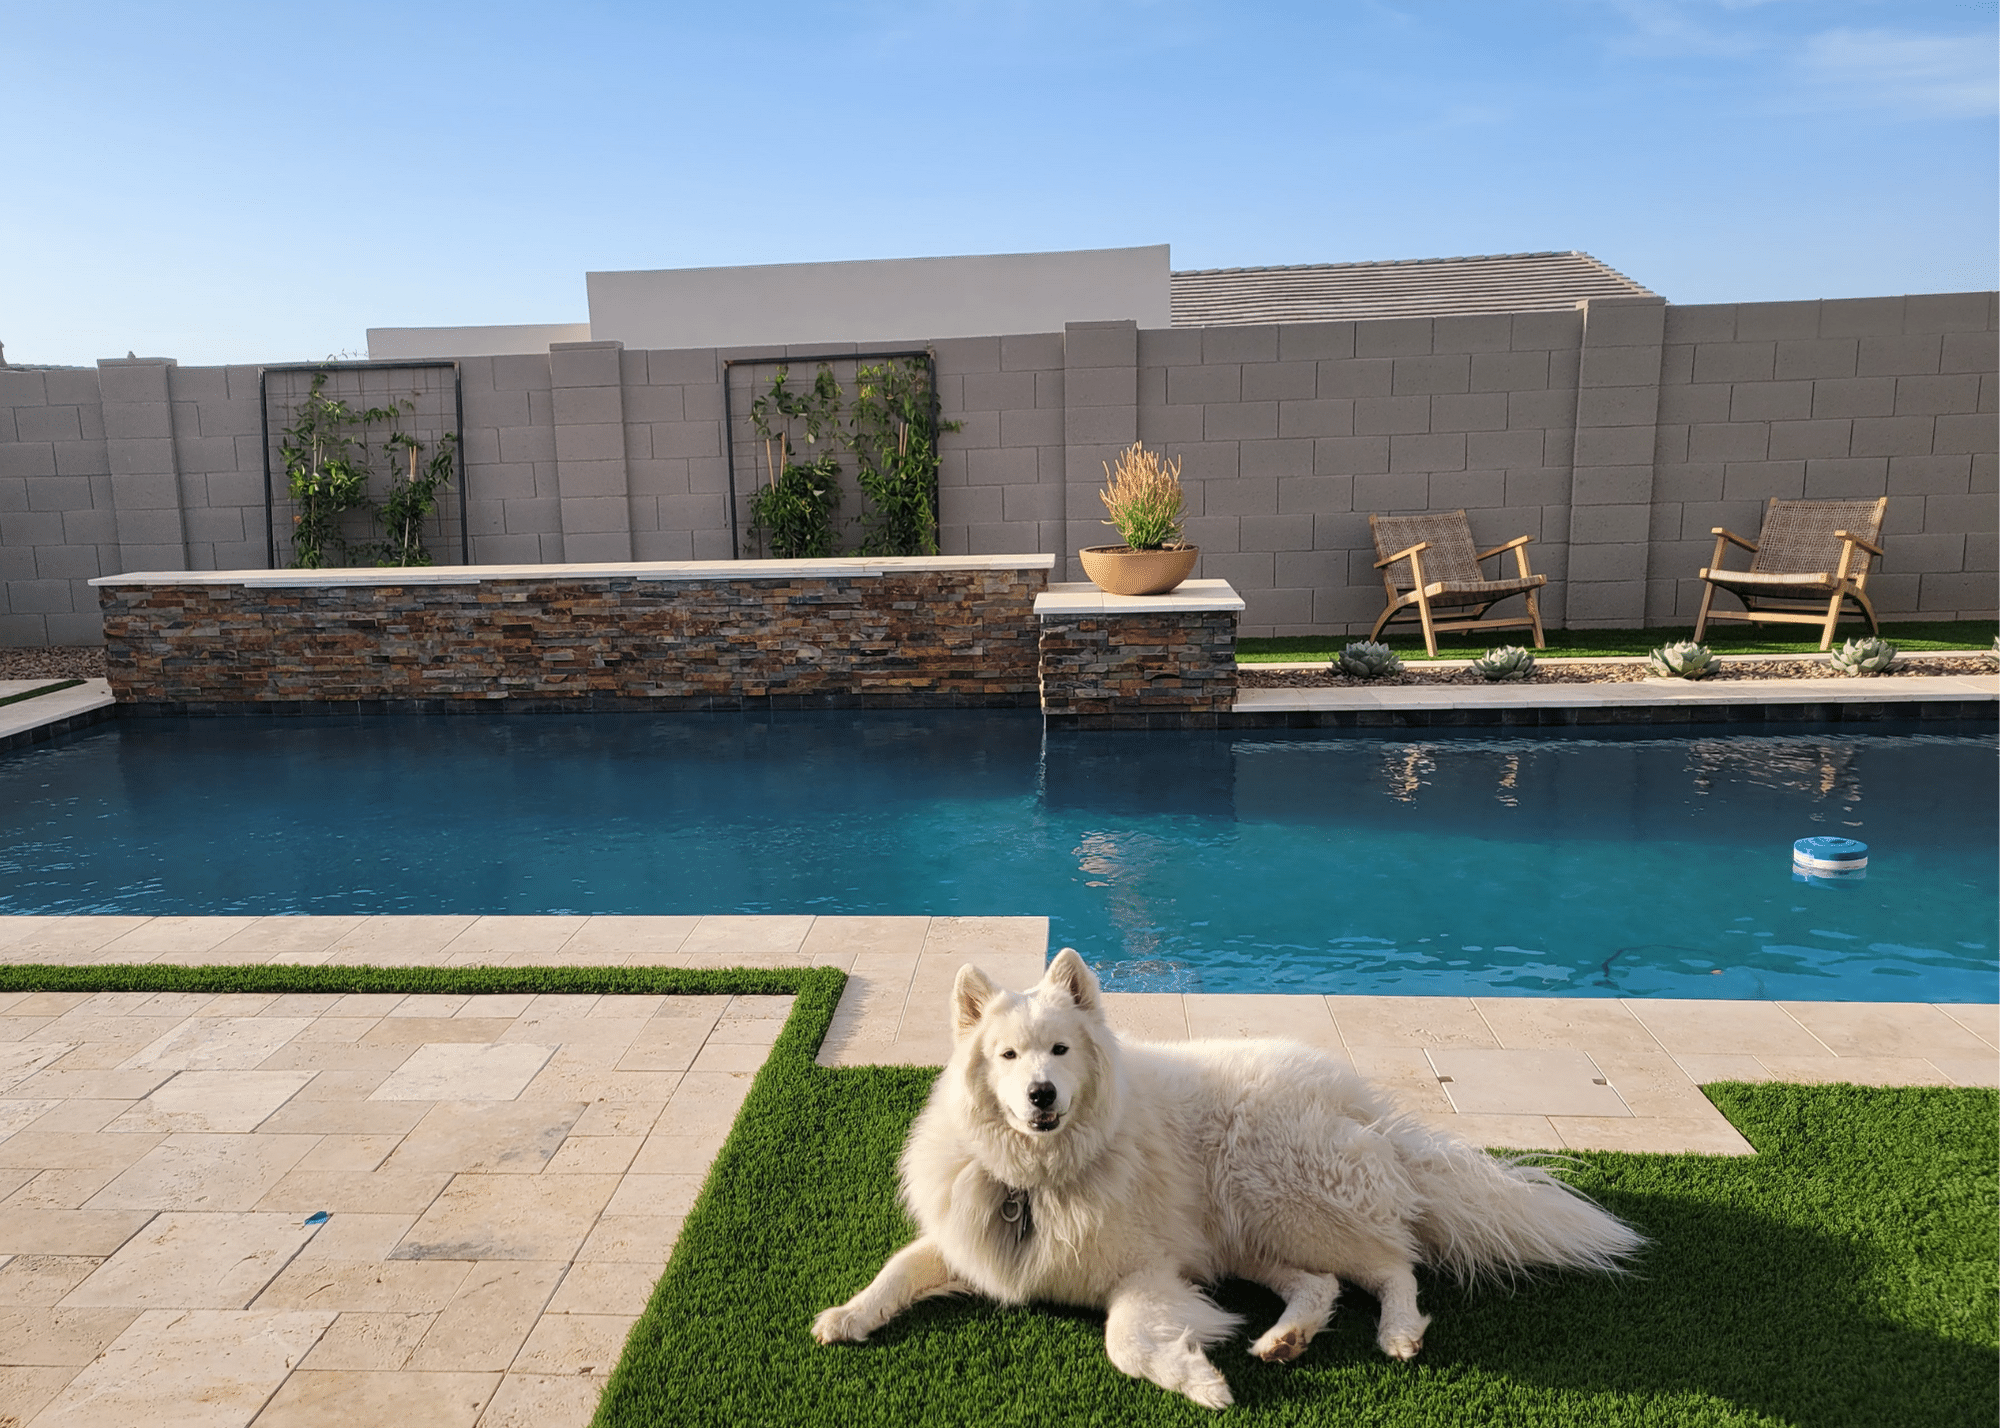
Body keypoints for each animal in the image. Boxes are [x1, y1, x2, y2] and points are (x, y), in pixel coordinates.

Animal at [808, 944, 1640, 1400]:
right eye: (1008, 1056)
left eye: (1060, 1051)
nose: (1041, 1095)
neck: (1038, 1179)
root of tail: (1368, 1111)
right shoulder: (966, 1242)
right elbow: (895, 1270)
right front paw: (846, 1316)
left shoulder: (1146, 1273)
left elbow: (1123, 1342)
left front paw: (1200, 1381)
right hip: (1246, 1233)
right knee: (1324, 1284)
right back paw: (1285, 1339)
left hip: (1281, 1198)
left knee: (1392, 1265)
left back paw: (1398, 1333)